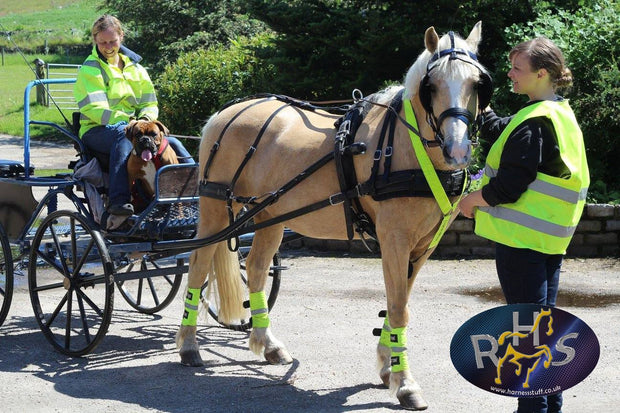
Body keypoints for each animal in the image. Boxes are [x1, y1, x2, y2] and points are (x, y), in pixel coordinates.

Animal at [177, 21, 492, 408]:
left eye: (477, 84)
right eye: (430, 87)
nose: (457, 149)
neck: (404, 149)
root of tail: (223, 114)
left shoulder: (424, 245)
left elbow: (399, 302)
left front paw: (388, 366)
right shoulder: (394, 239)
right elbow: (398, 307)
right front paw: (404, 382)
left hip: (272, 215)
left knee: (255, 268)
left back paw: (268, 345)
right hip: (215, 211)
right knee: (198, 265)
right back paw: (189, 346)